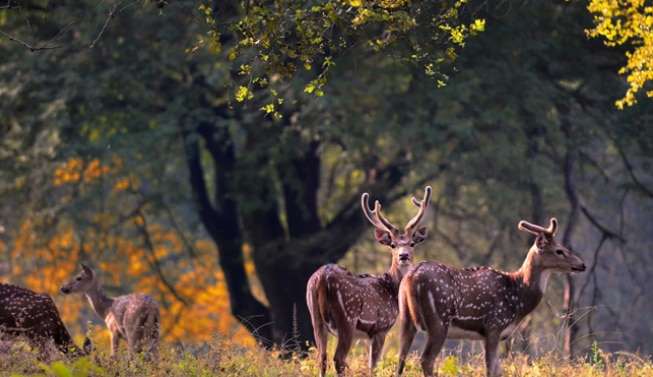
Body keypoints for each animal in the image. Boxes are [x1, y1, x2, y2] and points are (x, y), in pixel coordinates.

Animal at [306, 186, 432, 376]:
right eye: (393, 245)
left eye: (412, 243)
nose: (403, 256)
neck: (392, 288)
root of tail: (321, 279)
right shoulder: (381, 327)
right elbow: (374, 366)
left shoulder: (367, 335)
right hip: (347, 318)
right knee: (338, 358)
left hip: (315, 317)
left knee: (322, 358)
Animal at [394, 217, 588, 376]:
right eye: (559, 250)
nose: (582, 264)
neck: (518, 297)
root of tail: (412, 278)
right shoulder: (494, 325)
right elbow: (490, 370)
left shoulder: (484, 335)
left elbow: (498, 370)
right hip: (439, 319)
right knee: (426, 360)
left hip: (405, 317)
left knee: (400, 359)